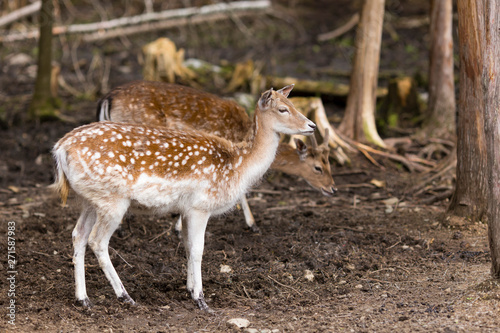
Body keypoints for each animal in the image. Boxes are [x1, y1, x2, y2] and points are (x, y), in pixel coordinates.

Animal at [51, 85, 316, 308]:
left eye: (294, 105)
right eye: (283, 109)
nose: (312, 125)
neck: (238, 165)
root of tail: (60, 148)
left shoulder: (187, 209)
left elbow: (187, 246)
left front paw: (189, 289)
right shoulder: (201, 206)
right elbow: (198, 250)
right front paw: (201, 299)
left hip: (90, 199)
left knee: (78, 234)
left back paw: (83, 299)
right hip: (113, 200)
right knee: (97, 240)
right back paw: (125, 296)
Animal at [96, 80, 336, 231]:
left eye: (329, 163)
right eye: (317, 167)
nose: (333, 188)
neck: (243, 133)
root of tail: (108, 98)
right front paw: (252, 224)